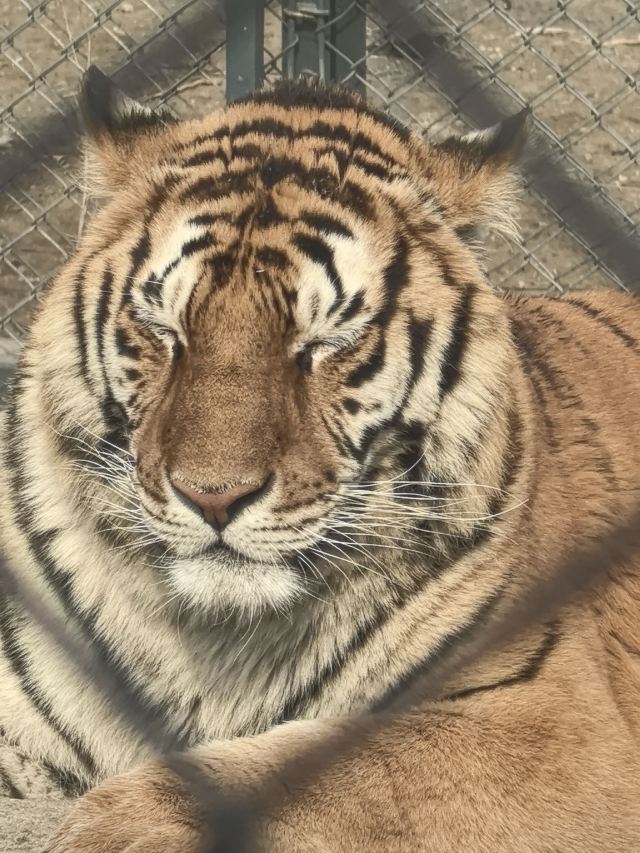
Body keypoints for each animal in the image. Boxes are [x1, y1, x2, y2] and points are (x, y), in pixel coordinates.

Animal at [0, 65, 639, 852]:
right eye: (165, 330)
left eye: (325, 342)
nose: (212, 496)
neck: (213, 638)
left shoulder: (553, 717)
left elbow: (344, 765)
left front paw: (119, 827)